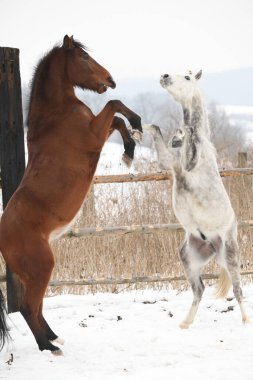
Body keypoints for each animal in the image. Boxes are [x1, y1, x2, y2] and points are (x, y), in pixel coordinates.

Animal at [0, 34, 142, 354]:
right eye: (83, 58)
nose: (109, 80)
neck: (58, 114)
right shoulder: (93, 135)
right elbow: (114, 107)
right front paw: (137, 128)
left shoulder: (98, 130)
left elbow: (116, 118)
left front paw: (130, 148)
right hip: (41, 268)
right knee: (29, 308)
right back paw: (49, 348)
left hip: (31, 274)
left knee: (36, 309)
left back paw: (55, 338)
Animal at [143, 70, 248, 328]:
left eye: (188, 77)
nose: (165, 76)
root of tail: (212, 245)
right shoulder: (169, 164)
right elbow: (158, 131)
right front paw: (143, 129)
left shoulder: (189, 164)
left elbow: (189, 137)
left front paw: (184, 131)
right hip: (189, 257)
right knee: (199, 289)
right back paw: (185, 323)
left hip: (230, 254)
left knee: (238, 289)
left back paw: (245, 319)